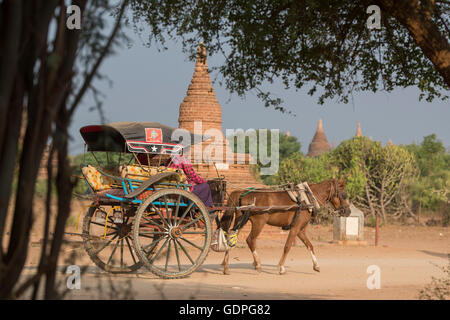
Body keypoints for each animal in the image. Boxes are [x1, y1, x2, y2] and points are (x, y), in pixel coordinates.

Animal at [218, 179, 352, 274]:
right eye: (344, 195)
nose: (348, 211)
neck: (307, 198)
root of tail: (243, 193)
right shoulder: (295, 228)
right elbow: (287, 246)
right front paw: (281, 267)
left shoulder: (300, 230)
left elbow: (310, 245)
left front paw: (316, 265)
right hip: (258, 222)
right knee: (250, 240)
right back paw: (258, 264)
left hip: (241, 220)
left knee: (231, 237)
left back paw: (225, 266)